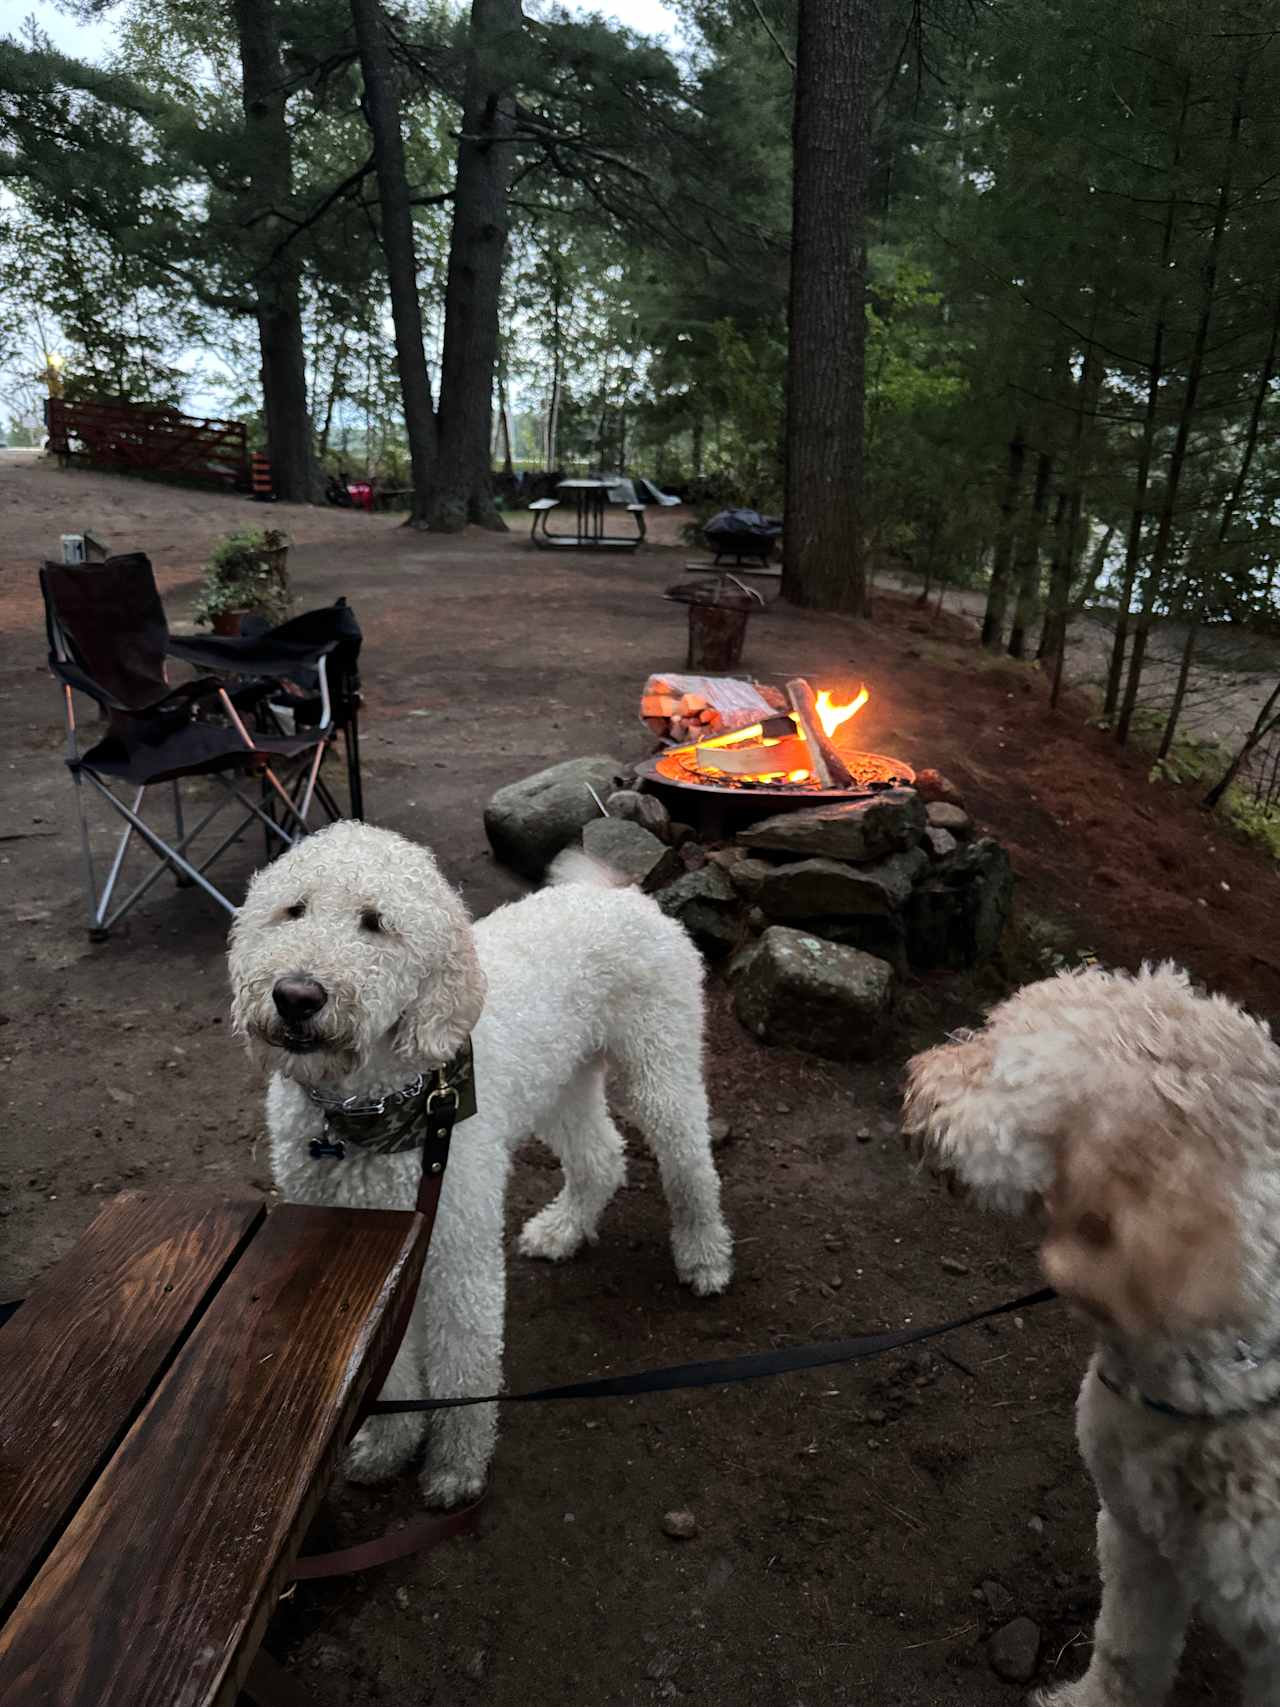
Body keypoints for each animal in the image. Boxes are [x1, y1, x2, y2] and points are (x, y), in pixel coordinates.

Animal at [228, 822, 730, 1508]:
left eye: (376, 923)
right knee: (600, 1154)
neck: (374, 1108)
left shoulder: (455, 1246)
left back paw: (704, 1255)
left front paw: (456, 1467)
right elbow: (389, 1370)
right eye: (292, 910)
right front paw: (387, 1446)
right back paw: (564, 1229)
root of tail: (620, 896)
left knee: (690, 1159)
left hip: (659, 1058)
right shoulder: (375, 1252)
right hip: (562, 1079)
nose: (296, 996)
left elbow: (463, 1360)